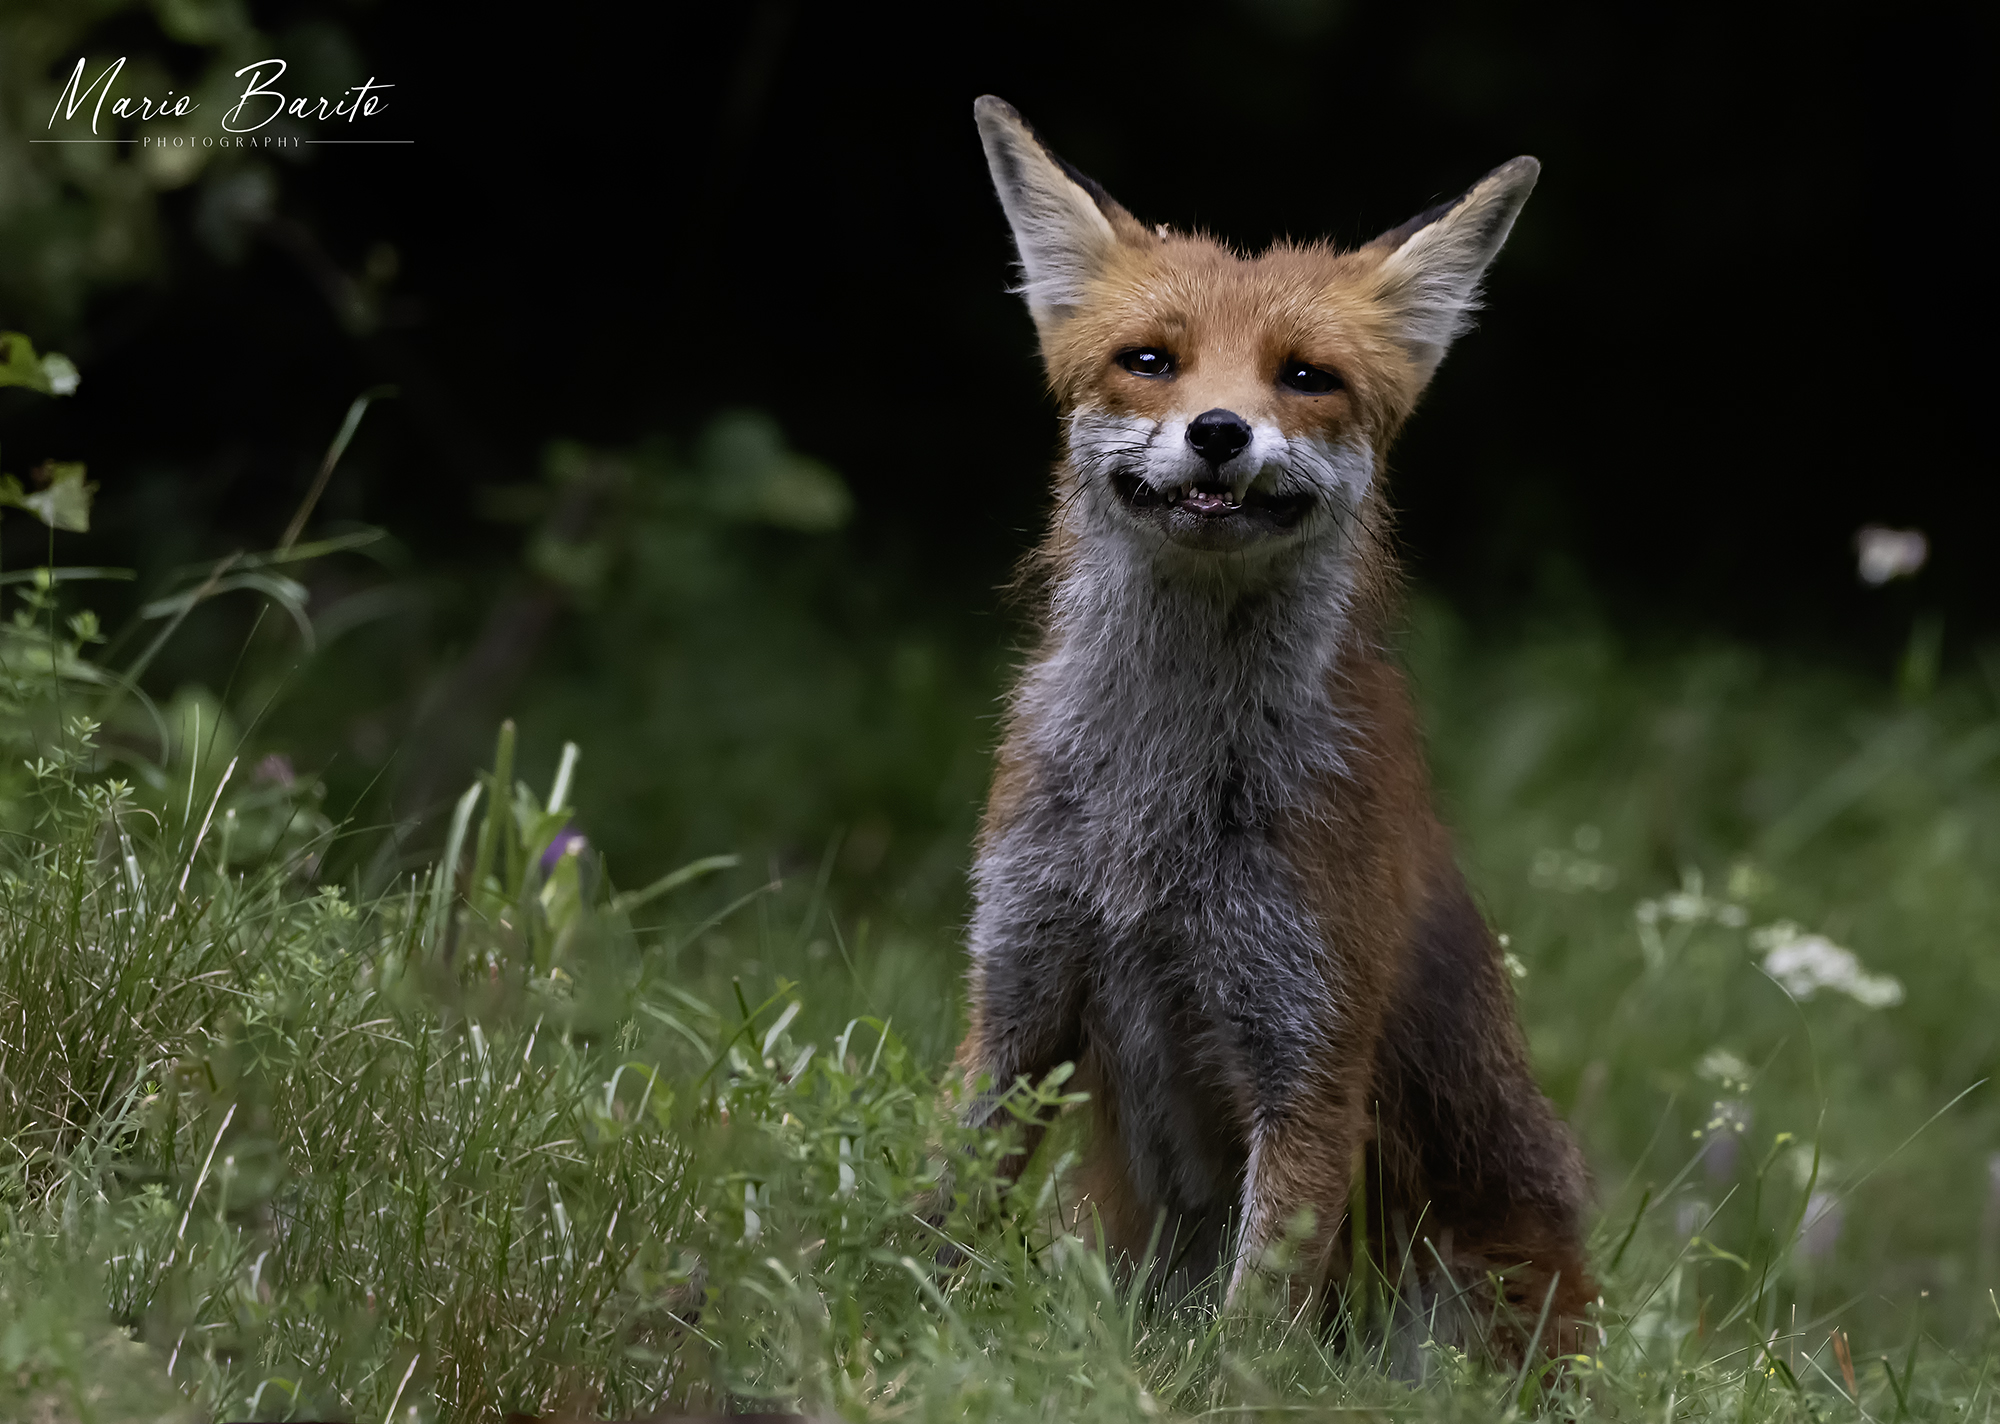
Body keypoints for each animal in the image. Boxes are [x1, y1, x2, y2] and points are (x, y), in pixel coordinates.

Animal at [953, 96, 1595, 1359]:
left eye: (1305, 377)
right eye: (1150, 360)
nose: (1217, 430)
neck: (1153, 805)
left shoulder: (1308, 1051)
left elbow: (1251, 1326)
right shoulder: (1013, 991)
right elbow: (923, 1202)